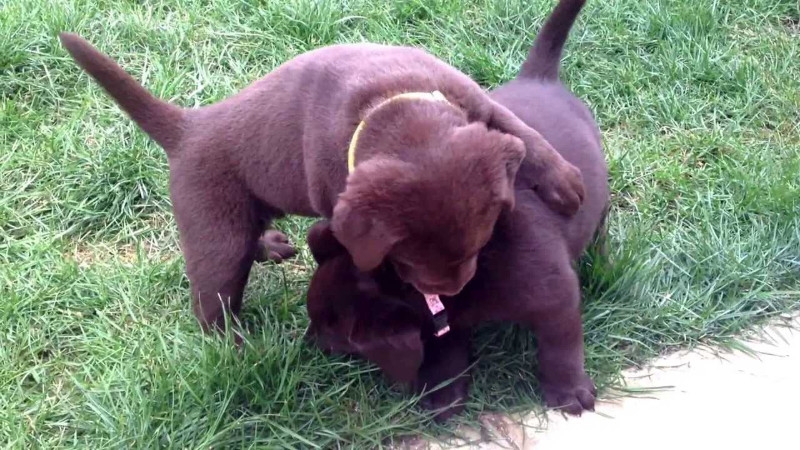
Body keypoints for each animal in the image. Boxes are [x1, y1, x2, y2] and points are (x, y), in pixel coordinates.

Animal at [57, 32, 580, 334]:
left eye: (477, 247)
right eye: (406, 260)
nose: (452, 291)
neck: (387, 103)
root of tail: (187, 128)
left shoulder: (472, 99)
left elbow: (521, 133)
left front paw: (567, 184)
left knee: (247, 241)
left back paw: (269, 247)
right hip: (214, 228)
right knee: (212, 301)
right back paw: (239, 350)